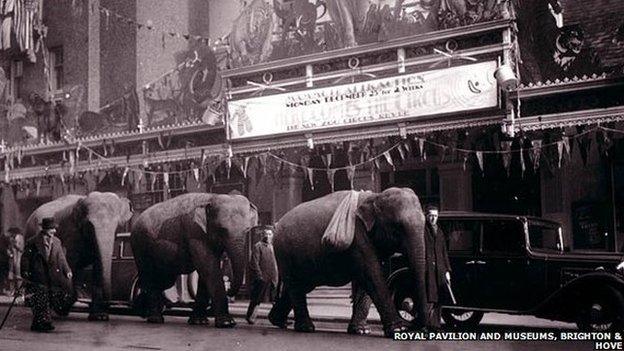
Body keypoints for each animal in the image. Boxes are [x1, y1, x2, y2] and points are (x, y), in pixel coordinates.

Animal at [24, 192, 134, 322]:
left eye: (117, 225)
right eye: (89, 225)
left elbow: (98, 265)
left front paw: (99, 317)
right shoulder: (71, 234)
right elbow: (69, 263)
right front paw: (62, 307)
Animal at [130, 192, 258, 328]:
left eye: (247, 230)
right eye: (222, 229)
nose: (229, 289)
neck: (211, 197)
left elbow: (207, 270)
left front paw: (199, 322)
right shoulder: (195, 233)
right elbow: (209, 267)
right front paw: (227, 323)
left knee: (163, 281)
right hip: (140, 246)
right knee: (150, 277)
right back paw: (155, 319)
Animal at [266, 188, 426, 340]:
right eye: (397, 227)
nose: (421, 328)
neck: (375, 196)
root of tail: (277, 224)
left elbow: (367, 279)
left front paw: (361, 331)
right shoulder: (358, 237)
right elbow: (372, 274)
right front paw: (399, 330)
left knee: (301, 285)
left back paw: (278, 321)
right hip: (285, 252)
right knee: (296, 285)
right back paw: (305, 328)